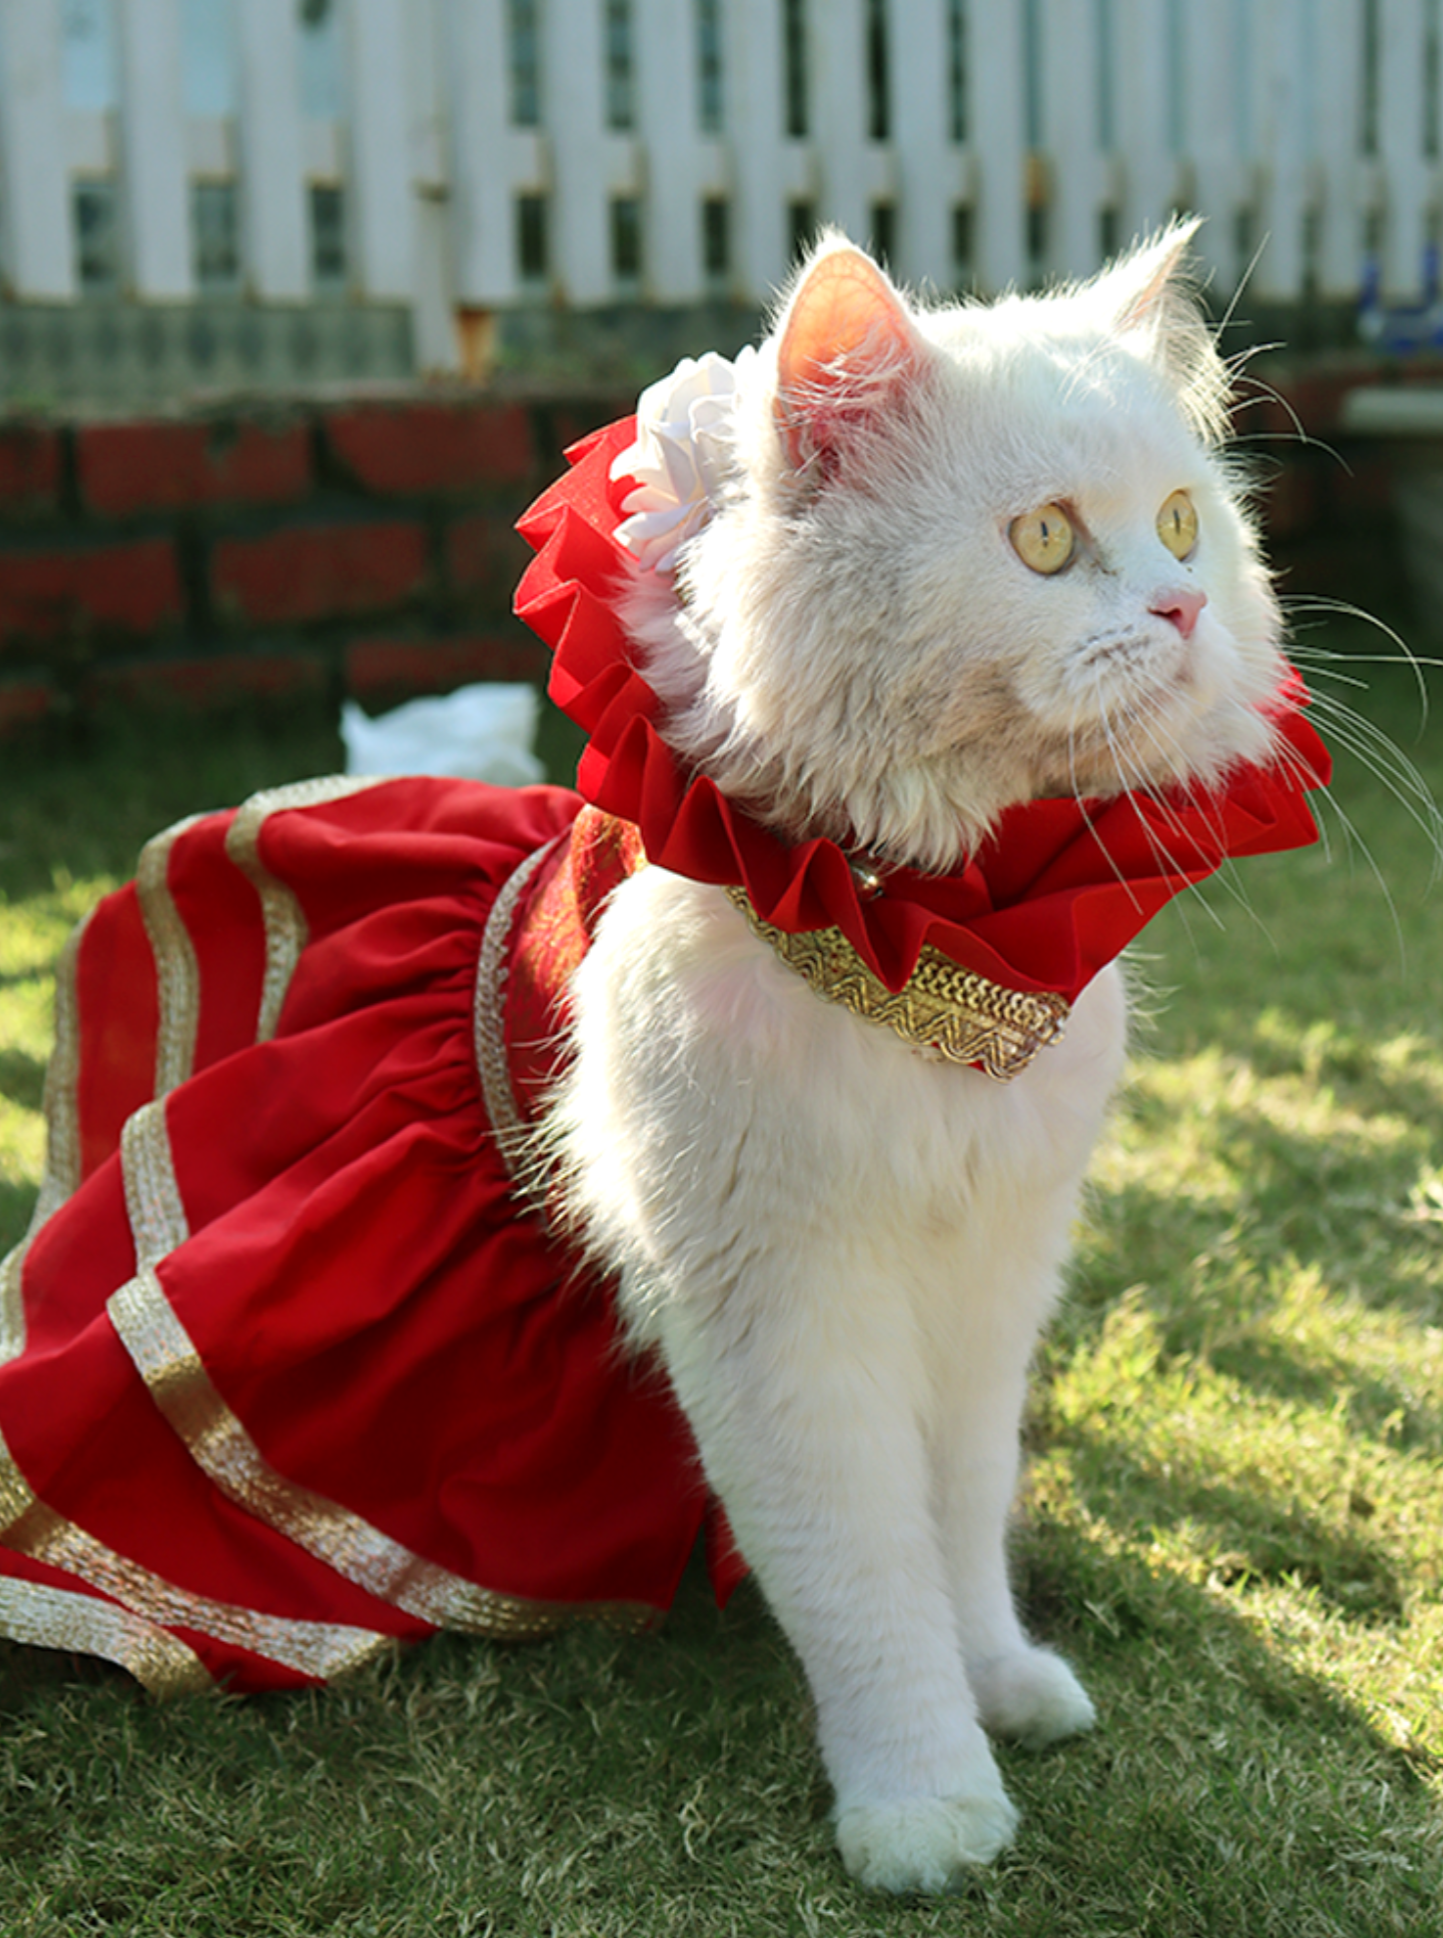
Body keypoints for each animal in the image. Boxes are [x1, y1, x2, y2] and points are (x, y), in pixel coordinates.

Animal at [546, 230, 1286, 1891]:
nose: (1179, 612)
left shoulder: (990, 1277)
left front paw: (1000, 1683)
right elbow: (860, 1579)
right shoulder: (780, 1306)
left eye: (1179, 524)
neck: (932, 942)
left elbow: (959, 1521)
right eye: (1041, 539)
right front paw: (926, 1811)